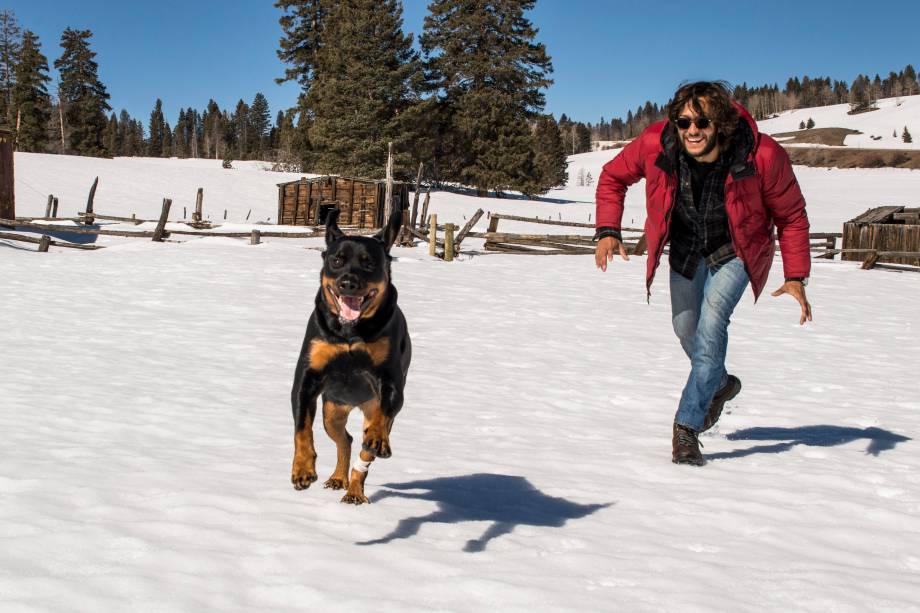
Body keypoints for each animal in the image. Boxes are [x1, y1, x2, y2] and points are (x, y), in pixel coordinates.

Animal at [292, 206, 414, 502]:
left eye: (369, 263)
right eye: (337, 260)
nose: (348, 282)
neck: (349, 331)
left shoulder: (390, 380)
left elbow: (384, 411)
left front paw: (378, 437)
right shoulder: (307, 377)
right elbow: (302, 428)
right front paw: (302, 469)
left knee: (363, 450)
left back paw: (355, 490)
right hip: (332, 411)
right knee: (343, 440)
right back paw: (339, 478)